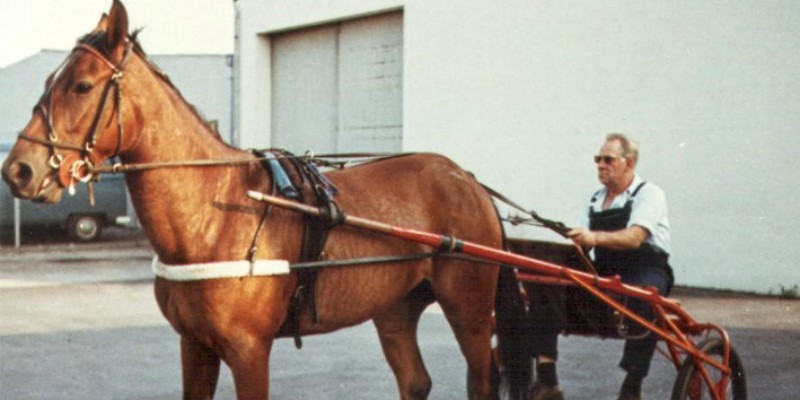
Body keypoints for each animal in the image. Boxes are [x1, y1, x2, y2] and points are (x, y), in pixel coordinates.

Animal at [3, 1, 532, 398]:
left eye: (81, 85)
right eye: (49, 80)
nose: (18, 170)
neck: (214, 214)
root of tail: (465, 179)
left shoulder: (249, 351)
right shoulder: (195, 346)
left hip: (468, 311)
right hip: (396, 310)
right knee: (415, 382)